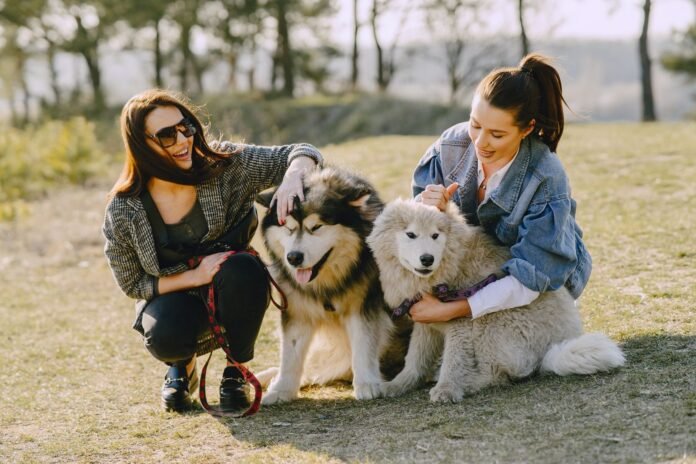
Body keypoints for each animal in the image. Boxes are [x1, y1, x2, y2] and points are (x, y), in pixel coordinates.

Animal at [256, 169, 408, 404]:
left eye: (316, 227)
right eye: (288, 228)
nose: (293, 258)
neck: (326, 283)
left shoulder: (363, 306)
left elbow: (363, 346)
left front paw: (366, 384)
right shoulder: (297, 309)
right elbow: (290, 355)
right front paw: (281, 390)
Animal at [368, 199, 624, 402]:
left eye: (435, 236)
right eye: (410, 235)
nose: (427, 258)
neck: (449, 265)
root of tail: (550, 353)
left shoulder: (459, 323)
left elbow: (453, 359)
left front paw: (447, 389)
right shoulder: (425, 322)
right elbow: (415, 358)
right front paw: (398, 385)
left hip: (489, 325)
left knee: (495, 373)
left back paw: (469, 382)